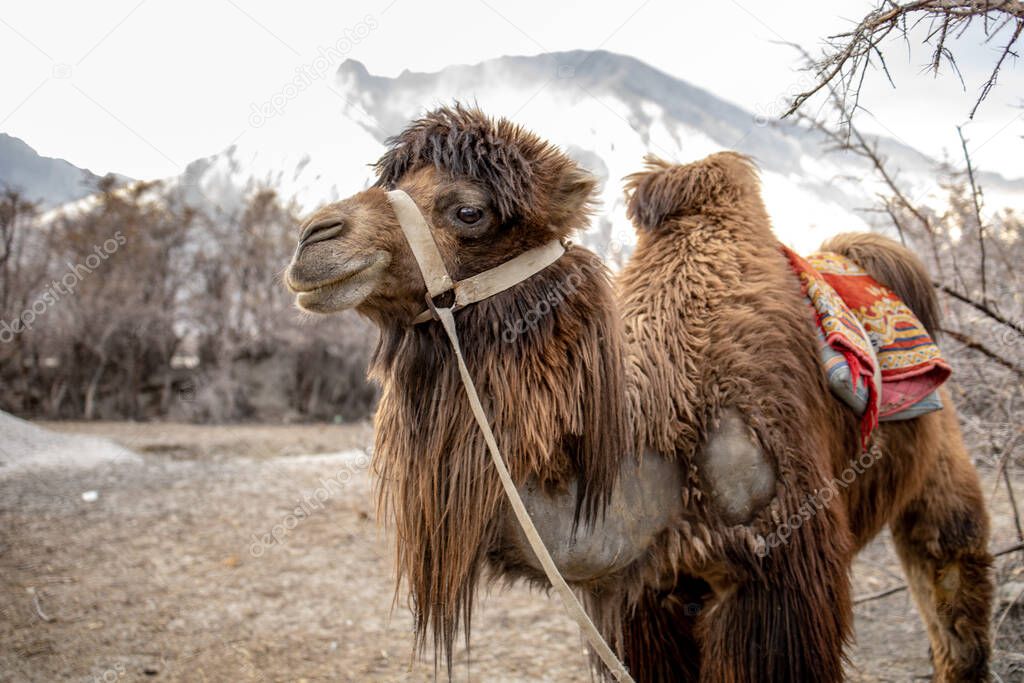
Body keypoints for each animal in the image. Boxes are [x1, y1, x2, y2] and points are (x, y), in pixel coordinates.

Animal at [286, 107, 991, 683]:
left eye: (469, 210)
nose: (313, 238)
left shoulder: (785, 579)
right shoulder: (646, 601)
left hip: (942, 467)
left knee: (953, 583)